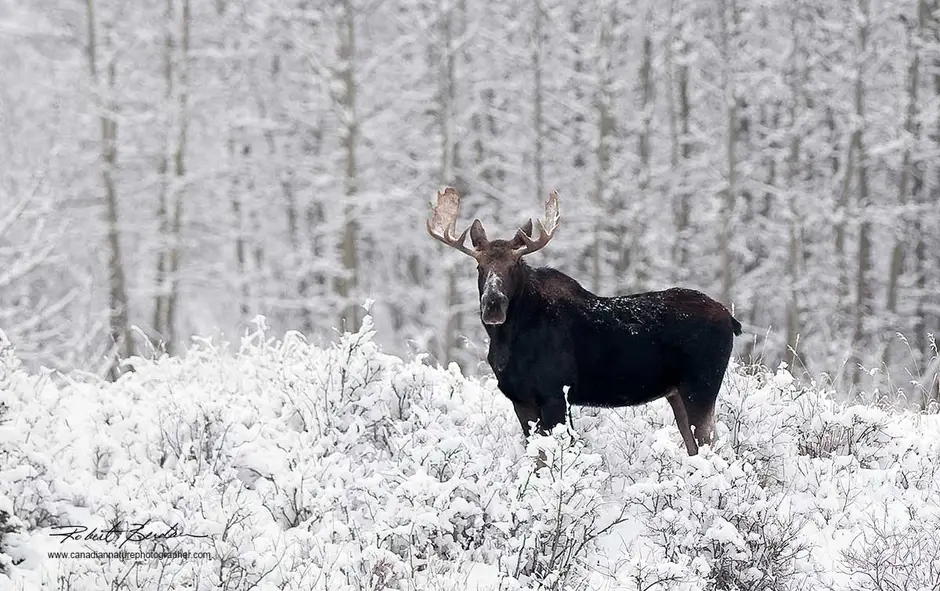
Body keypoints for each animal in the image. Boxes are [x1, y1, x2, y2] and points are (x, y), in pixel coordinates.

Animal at [426, 187, 740, 456]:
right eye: (479, 266)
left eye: (513, 265)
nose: (493, 305)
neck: (507, 343)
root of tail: (731, 319)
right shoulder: (521, 400)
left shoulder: (556, 394)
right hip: (677, 393)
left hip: (701, 387)